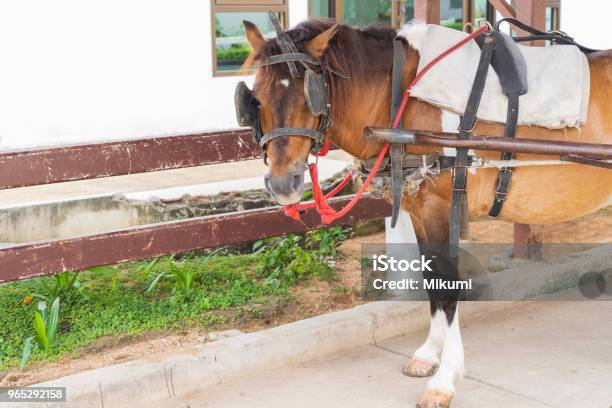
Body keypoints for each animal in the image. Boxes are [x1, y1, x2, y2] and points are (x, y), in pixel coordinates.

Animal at [241, 19, 608, 408]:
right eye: (256, 99)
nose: (283, 183)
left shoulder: (440, 207)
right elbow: (432, 283)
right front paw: (429, 354)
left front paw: (444, 380)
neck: (403, 100)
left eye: (308, 96)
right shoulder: (418, 210)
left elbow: (447, 287)